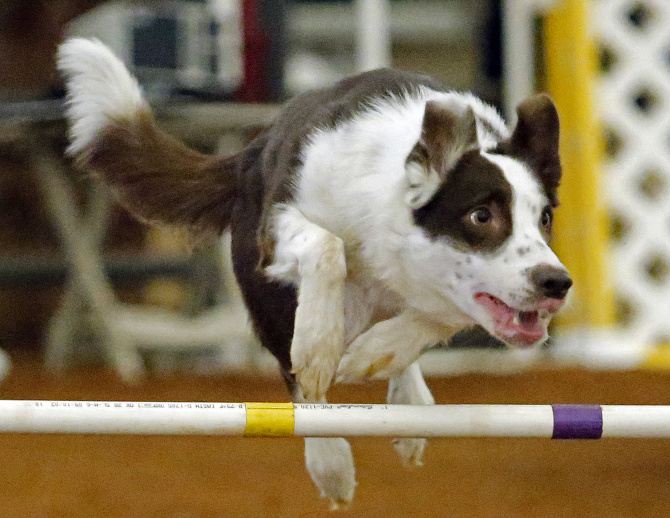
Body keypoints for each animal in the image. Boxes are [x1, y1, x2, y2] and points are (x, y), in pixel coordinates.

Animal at [57, 38, 576, 510]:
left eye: (545, 218)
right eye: (481, 216)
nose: (558, 283)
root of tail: (253, 152)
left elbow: (438, 316)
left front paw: (375, 355)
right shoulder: (277, 229)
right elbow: (327, 254)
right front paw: (318, 350)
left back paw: (407, 399)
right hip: (266, 290)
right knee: (303, 389)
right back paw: (331, 460)